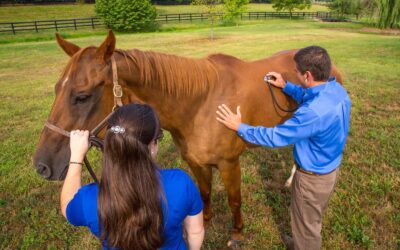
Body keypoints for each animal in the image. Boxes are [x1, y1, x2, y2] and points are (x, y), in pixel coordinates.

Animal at [32, 30, 342, 243]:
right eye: (56, 88)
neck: (200, 104)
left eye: (82, 96)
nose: (42, 165)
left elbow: (234, 200)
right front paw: (205, 221)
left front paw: (237, 234)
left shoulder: (229, 164)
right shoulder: (196, 162)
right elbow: (203, 194)